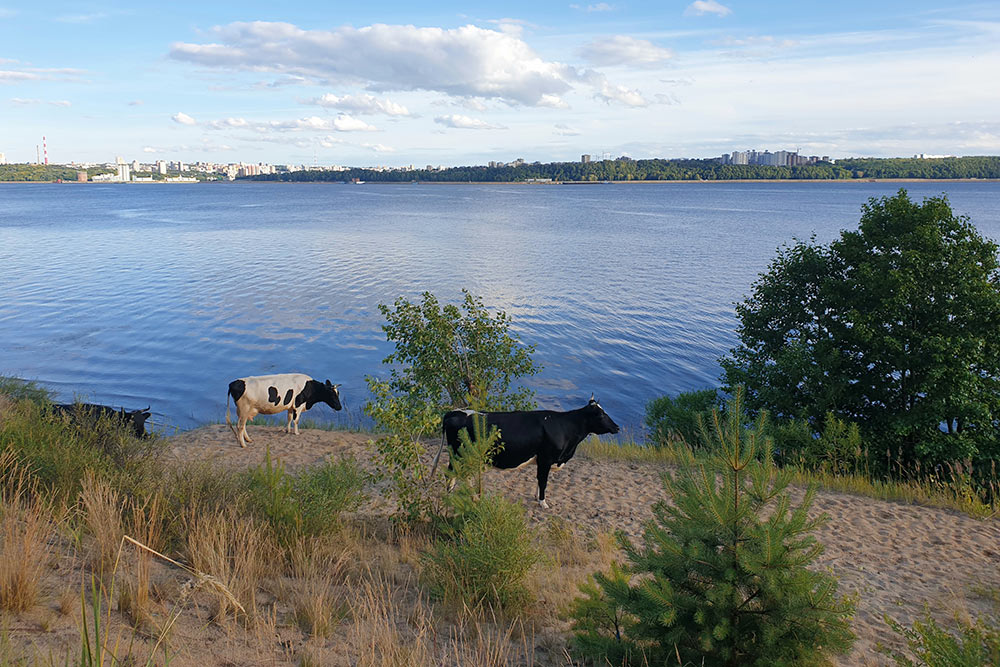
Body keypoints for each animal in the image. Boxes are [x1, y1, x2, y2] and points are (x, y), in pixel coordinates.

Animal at [438, 396, 616, 512]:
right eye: (601, 415)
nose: (616, 427)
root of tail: (453, 413)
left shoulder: (542, 461)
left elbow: (539, 480)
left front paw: (537, 497)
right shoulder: (546, 459)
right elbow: (543, 481)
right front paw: (543, 502)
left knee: (460, 475)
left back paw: (466, 496)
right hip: (460, 455)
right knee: (454, 475)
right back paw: (461, 496)